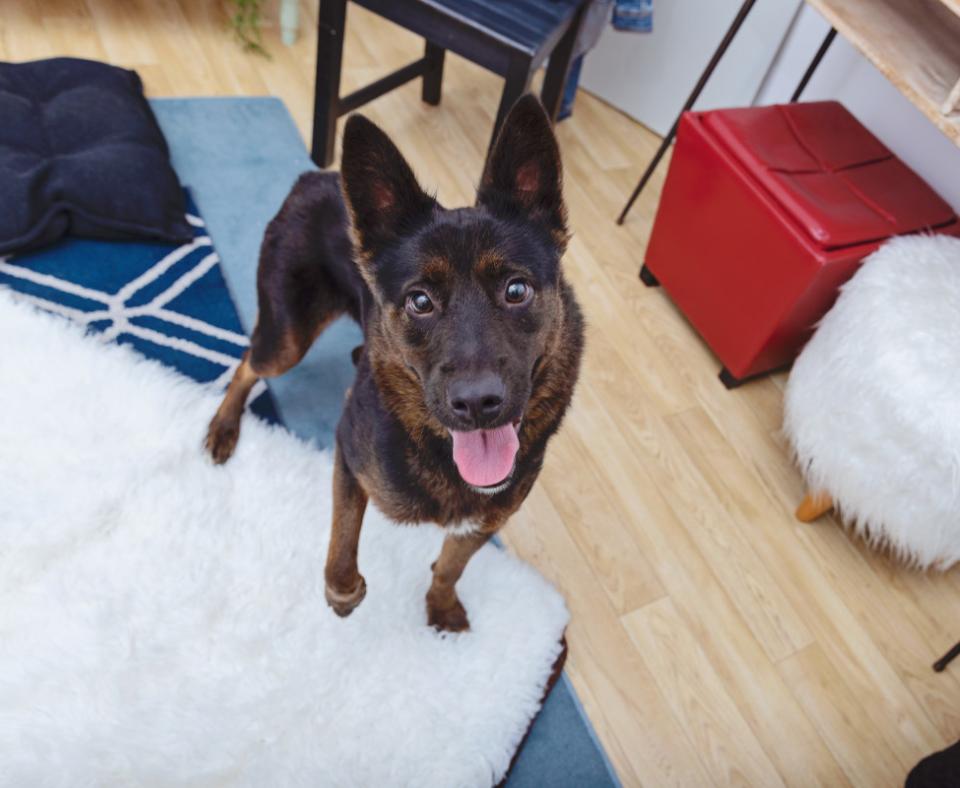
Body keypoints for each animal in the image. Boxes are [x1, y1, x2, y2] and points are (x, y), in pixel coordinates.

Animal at [205, 94, 580, 636]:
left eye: (516, 290)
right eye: (420, 301)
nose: (478, 404)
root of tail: (314, 178)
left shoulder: (488, 518)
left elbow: (450, 565)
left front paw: (440, 605)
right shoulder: (347, 452)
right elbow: (341, 538)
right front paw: (342, 593)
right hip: (287, 338)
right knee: (248, 363)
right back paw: (224, 426)